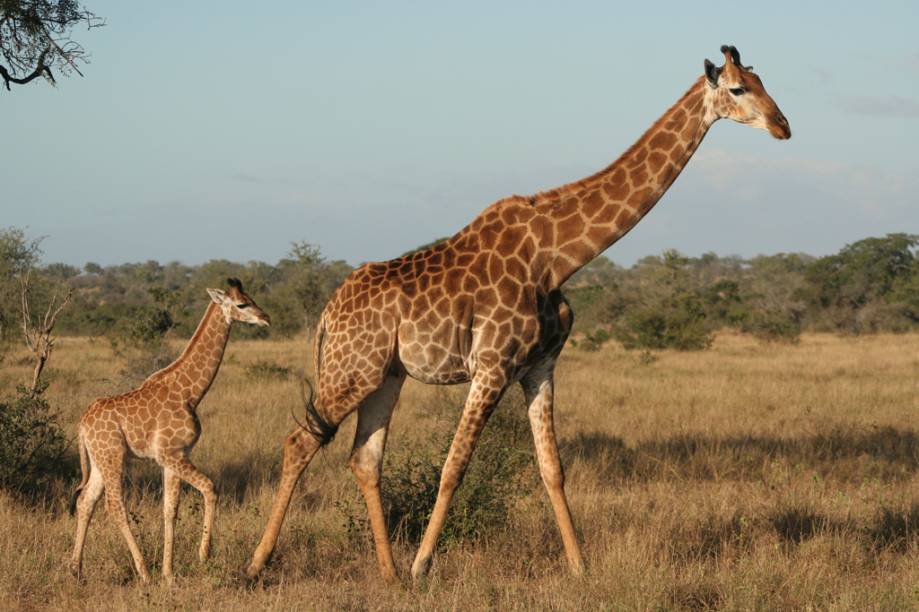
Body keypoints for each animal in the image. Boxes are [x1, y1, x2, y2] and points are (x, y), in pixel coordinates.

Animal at [69, 278, 270, 584]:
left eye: (251, 298)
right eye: (241, 304)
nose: (265, 318)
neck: (190, 393)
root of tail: (81, 424)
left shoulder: (174, 457)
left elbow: (169, 510)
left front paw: (169, 573)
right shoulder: (171, 453)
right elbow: (210, 488)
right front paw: (203, 555)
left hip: (99, 459)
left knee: (85, 501)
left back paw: (76, 570)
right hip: (113, 456)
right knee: (114, 505)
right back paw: (142, 571)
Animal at [244, 45, 792, 580]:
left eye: (764, 82)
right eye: (738, 88)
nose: (783, 125)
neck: (558, 257)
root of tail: (327, 313)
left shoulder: (540, 366)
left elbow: (552, 467)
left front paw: (580, 568)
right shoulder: (491, 365)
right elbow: (454, 466)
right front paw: (423, 566)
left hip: (385, 375)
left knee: (364, 457)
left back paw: (388, 573)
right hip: (350, 370)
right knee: (299, 442)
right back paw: (259, 563)